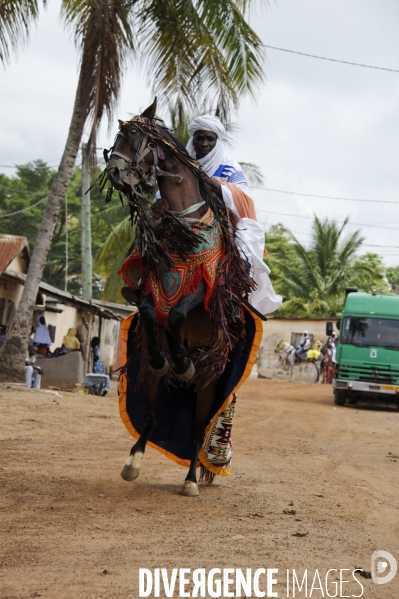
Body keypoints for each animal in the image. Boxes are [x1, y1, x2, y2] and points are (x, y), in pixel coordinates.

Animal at [104, 98, 258, 496]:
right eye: (118, 135)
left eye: (133, 135)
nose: (113, 172)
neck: (184, 227)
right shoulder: (151, 285)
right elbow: (148, 310)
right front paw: (164, 357)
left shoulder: (205, 286)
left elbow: (176, 315)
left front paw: (182, 360)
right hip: (153, 385)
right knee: (154, 416)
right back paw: (133, 462)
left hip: (209, 386)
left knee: (197, 430)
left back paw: (190, 480)